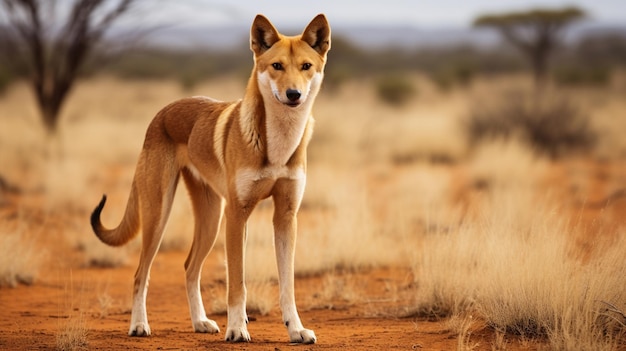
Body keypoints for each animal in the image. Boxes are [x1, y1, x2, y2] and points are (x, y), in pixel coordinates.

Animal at [89, 13, 330, 344]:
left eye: (306, 66)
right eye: (277, 66)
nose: (293, 95)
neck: (277, 144)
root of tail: (163, 111)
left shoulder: (285, 216)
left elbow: (287, 286)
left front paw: (295, 330)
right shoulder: (237, 215)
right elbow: (237, 285)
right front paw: (237, 329)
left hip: (210, 218)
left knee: (189, 267)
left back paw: (200, 322)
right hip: (160, 215)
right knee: (141, 274)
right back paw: (139, 325)